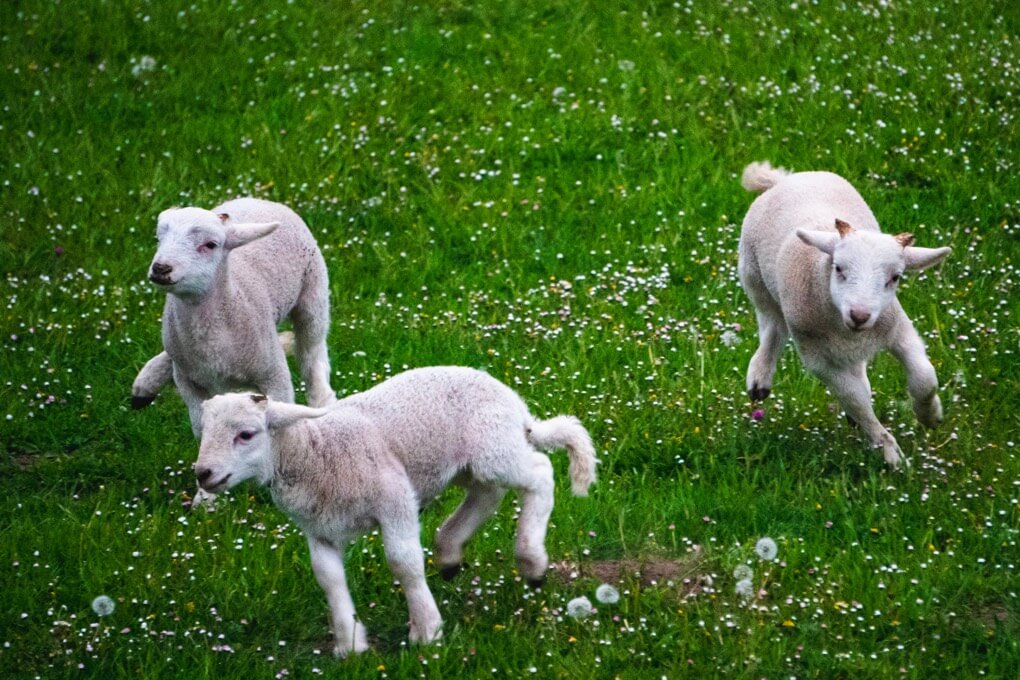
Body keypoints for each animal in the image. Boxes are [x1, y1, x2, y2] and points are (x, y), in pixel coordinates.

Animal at [191, 367, 595, 660]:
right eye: (204, 431)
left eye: (246, 434)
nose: (203, 474)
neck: (315, 452)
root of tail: (513, 400)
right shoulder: (318, 527)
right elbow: (328, 578)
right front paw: (351, 644)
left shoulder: (394, 499)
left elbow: (403, 562)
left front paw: (427, 631)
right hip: (470, 463)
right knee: (487, 493)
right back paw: (450, 552)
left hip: (493, 448)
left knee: (540, 472)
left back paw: (531, 561)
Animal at [738, 161, 950, 468]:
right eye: (838, 268)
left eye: (895, 278)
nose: (860, 315)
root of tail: (786, 179)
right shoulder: (819, 358)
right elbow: (855, 401)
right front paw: (890, 453)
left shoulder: (899, 329)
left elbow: (924, 377)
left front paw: (930, 414)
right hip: (754, 277)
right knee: (772, 326)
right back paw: (760, 377)